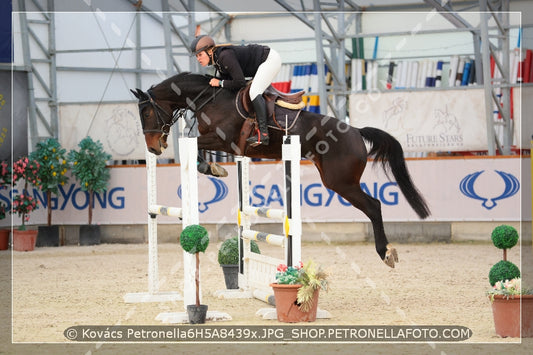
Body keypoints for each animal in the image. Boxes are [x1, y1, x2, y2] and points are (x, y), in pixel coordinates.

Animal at [131, 71, 430, 268]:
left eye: (146, 113)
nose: (154, 148)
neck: (210, 98)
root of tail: (356, 130)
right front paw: (215, 169)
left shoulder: (224, 140)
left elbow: (194, 145)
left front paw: (213, 168)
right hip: (335, 180)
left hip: (341, 182)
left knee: (374, 206)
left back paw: (386, 253)